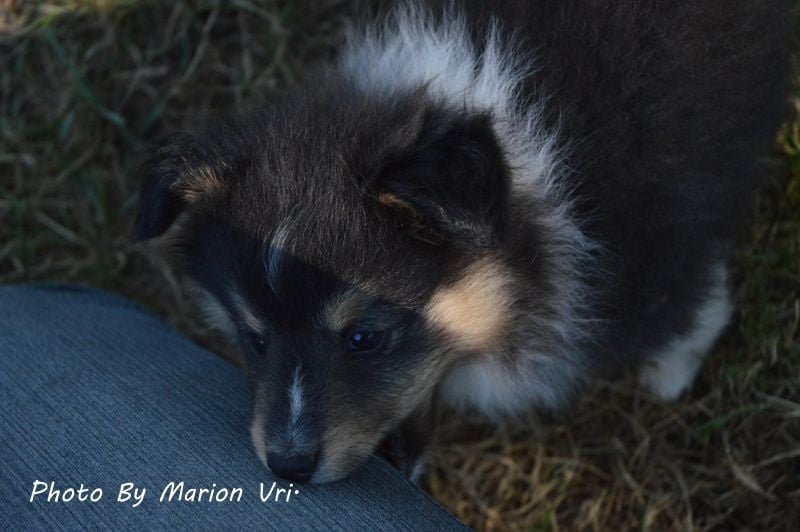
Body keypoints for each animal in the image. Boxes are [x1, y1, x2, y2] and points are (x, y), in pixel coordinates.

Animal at [134, 1, 791, 484]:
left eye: (365, 337)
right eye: (255, 338)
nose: (288, 467)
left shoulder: (655, 231)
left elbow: (684, 304)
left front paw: (671, 371)